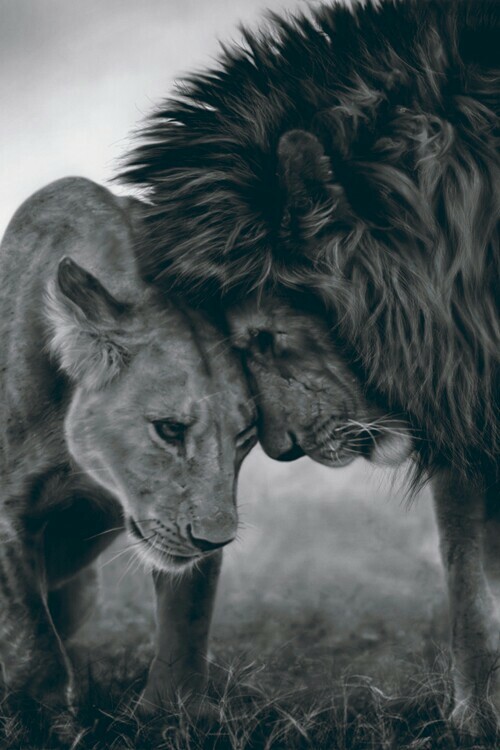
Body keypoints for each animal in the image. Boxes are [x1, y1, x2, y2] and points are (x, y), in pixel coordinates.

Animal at [0, 177, 258, 718]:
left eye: (245, 436)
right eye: (169, 429)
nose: (217, 539)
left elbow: (187, 623)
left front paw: (172, 713)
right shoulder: (8, 514)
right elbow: (32, 644)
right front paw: (44, 720)